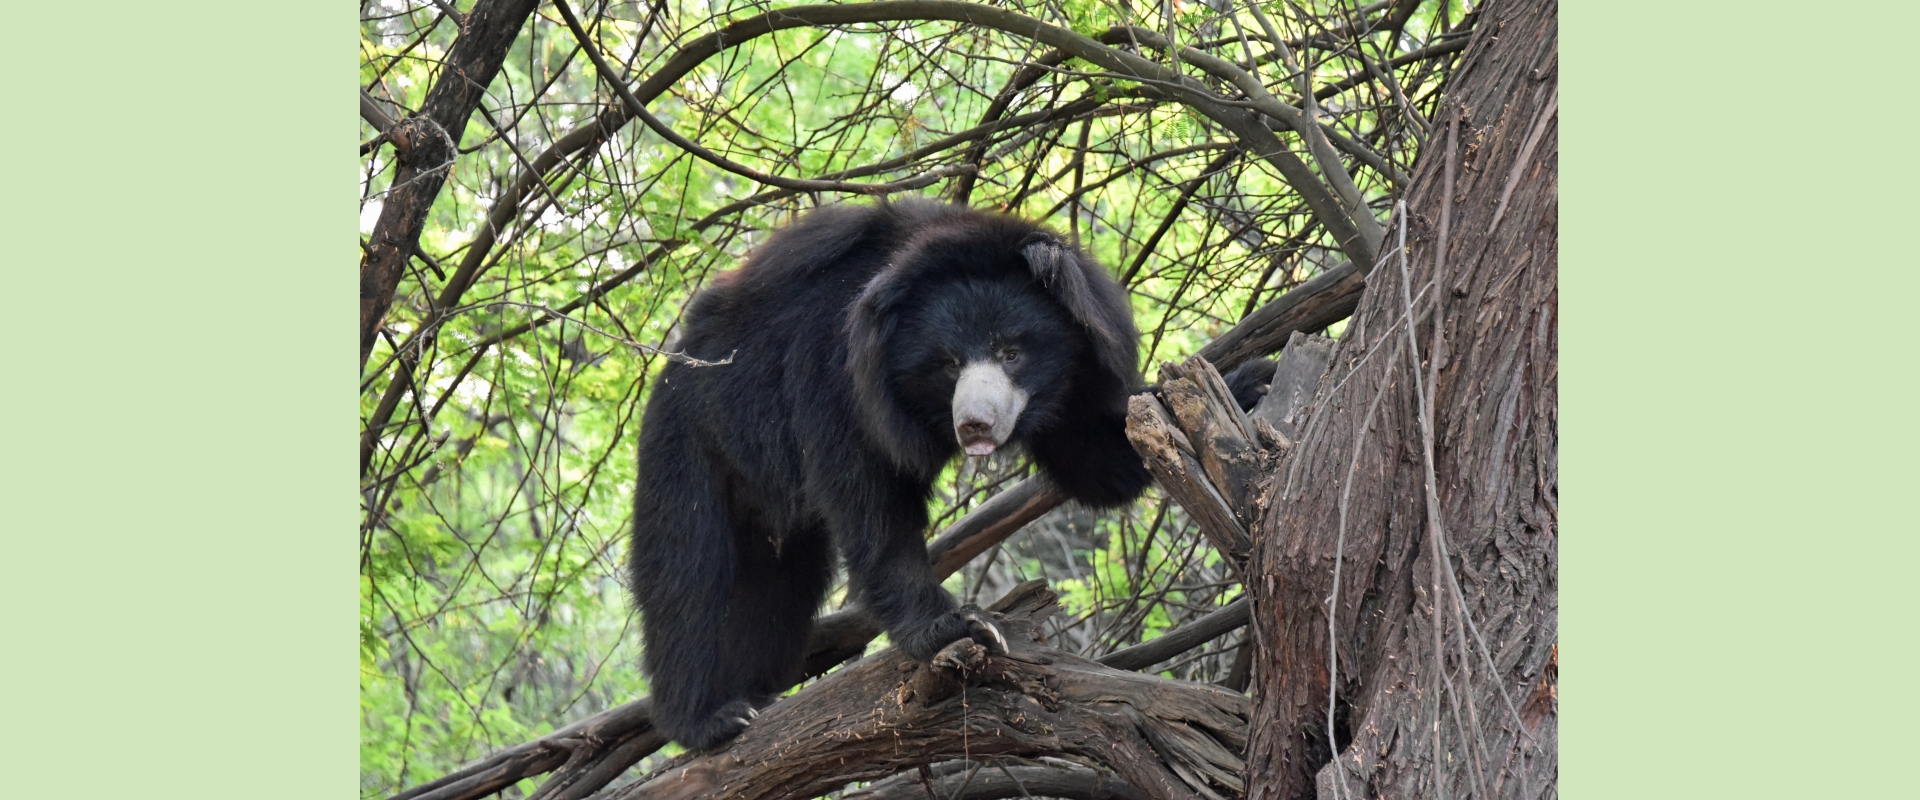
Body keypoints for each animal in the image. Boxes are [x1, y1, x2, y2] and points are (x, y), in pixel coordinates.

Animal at [627, 198, 1155, 750]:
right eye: (949, 363)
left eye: (1013, 353)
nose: (975, 425)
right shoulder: (836, 374)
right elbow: (870, 501)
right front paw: (960, 626)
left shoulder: (1078, 376)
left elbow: (1095, 463)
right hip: (694, 436)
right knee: (687, 569)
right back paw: (710, 718)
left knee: (778, 588)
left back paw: (756, 692)